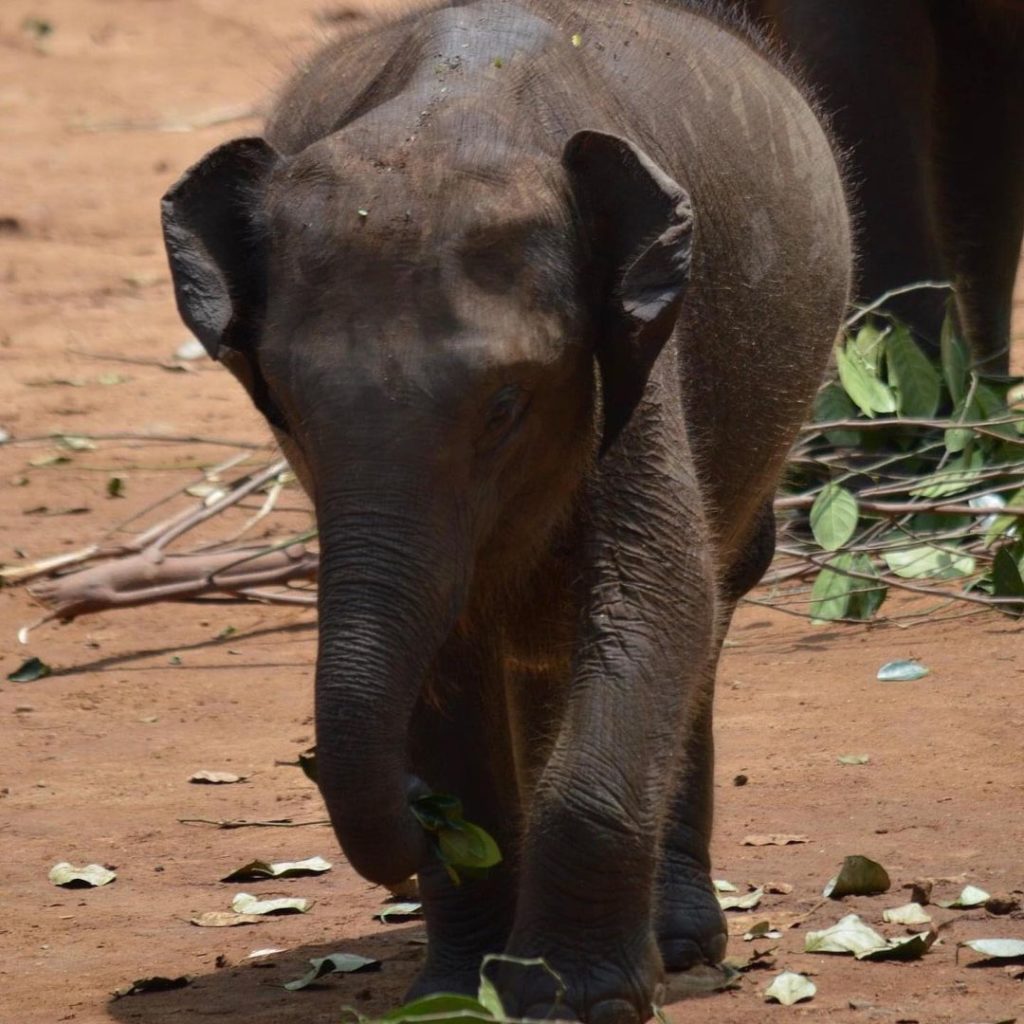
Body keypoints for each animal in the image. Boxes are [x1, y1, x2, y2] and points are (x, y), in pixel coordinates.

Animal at [161, 2, 851, 1020]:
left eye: (505, 405)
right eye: (284, 405)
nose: (414, 822)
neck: (455, 107)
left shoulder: (630, 360)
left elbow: (657, 599)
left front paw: (572, 1001)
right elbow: (448, 657)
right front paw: (459, 984)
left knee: (717, 591)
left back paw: (681, 947)